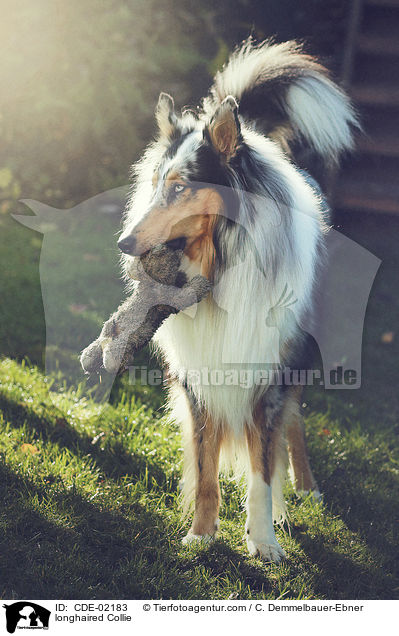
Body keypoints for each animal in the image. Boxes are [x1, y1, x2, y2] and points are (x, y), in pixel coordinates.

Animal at [117, 38, 358, 560]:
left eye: (180, 187)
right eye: (155, 183)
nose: (123, 244)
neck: (222, 265)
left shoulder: (267, 373)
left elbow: (262, 470)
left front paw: (264, 540)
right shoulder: (199, 379)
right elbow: (207, 467)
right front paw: (201, 535)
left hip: (296, 355)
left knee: (294, 424)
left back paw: (303, 490)